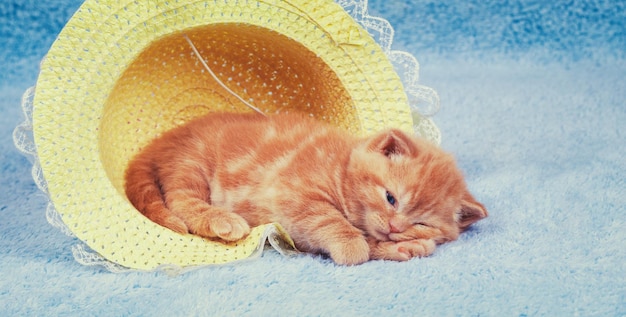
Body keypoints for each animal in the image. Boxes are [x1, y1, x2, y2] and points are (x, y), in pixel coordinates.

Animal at [124, 111, 488, 264]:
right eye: (390, 198)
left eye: (422, 223)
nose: (396, 227)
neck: (340, 167)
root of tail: (165, 139)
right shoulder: (292, 197)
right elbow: (329, 221)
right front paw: (353, 245)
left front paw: (397, 246)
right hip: (192, 164)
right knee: (179, 200)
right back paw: (222, 220)